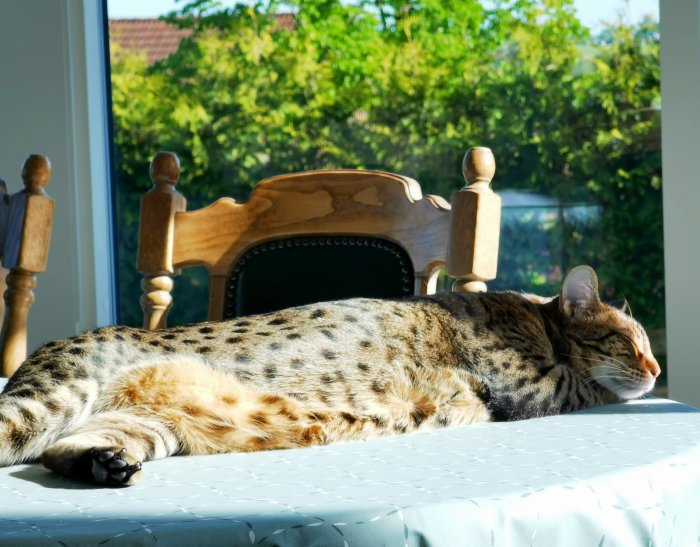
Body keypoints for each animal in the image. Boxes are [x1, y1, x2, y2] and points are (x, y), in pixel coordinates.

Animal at [0, 268, 656, 486]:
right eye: (631, 342)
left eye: (650, 348)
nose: (656, 367)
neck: (533, 318)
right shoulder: (531, 382)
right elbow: (592, 385)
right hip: (56, 396)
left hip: (144, 422)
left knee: (61, 451)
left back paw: (103, 465)